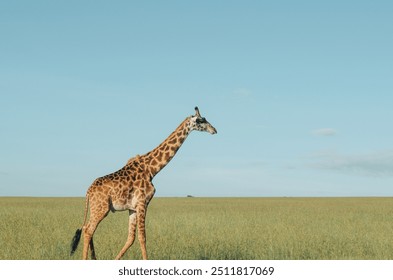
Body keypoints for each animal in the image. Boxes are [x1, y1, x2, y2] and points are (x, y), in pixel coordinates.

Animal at [71, 106, 217, 260]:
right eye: (201, 120)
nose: (214, 130)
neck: (151, 169)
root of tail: (88, 192)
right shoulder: (143, 202)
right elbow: (142, 237)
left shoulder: (133, 207)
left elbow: (131, 238)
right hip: (101, 208)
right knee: (88, 230)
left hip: (97, 208)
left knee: (88, 229)